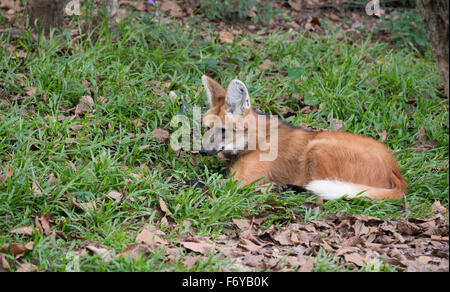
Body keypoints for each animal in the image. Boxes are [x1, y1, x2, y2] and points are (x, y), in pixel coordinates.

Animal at [200, 75, 408, 201]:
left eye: (223, 130)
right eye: (207, 128)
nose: (202, 151)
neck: (254, 141)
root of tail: (395, 170)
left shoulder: (239, 182)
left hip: (317, 146)